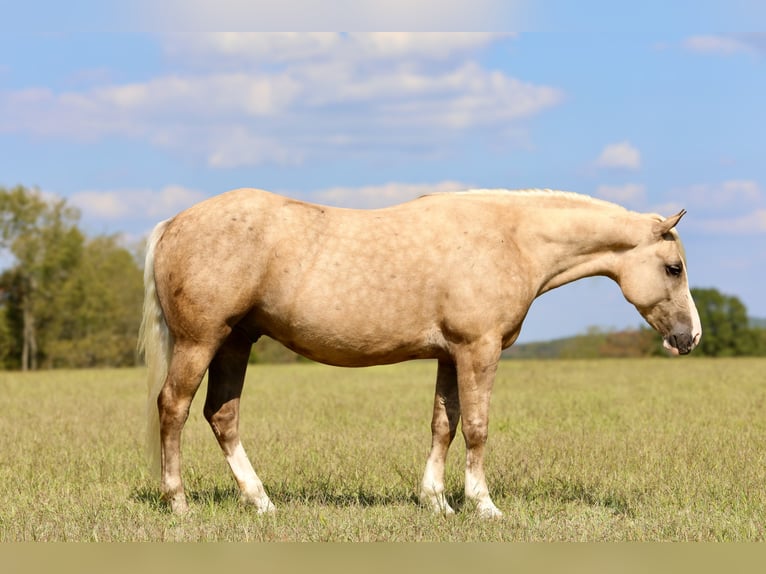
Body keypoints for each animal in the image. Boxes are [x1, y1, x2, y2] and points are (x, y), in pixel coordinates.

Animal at [138, 187, 701, 518]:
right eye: (673, 268)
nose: (690, 337)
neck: (509, 238)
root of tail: (171, 224)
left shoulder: (451, 355)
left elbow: (443, 425)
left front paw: (436, 502)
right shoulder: (478, 350)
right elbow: (476, 427)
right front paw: (482, 506)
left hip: (236, 342)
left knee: (221, 415)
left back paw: (260, 502)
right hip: (202, 341)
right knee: (174, 408)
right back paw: (179, 503)